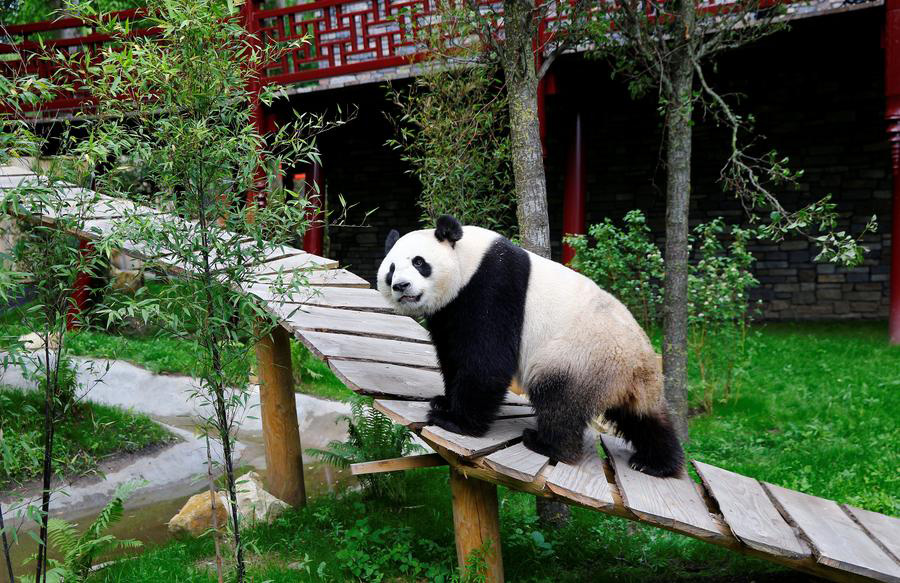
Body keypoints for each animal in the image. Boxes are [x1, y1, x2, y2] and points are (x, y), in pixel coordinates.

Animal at [377, 215, 684, 477]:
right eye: (391, 270)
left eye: (419, 263)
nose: (401, 286)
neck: (467, 260)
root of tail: (637, 363)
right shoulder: (448, 310)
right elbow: (451, 353)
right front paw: (444, 401)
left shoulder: (492, 287)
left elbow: (486, 360)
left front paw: (455, 421)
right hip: (628, 379)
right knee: (643, 418)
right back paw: (656, 463)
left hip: (580, 356)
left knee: (559, 399)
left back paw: (547, 444)